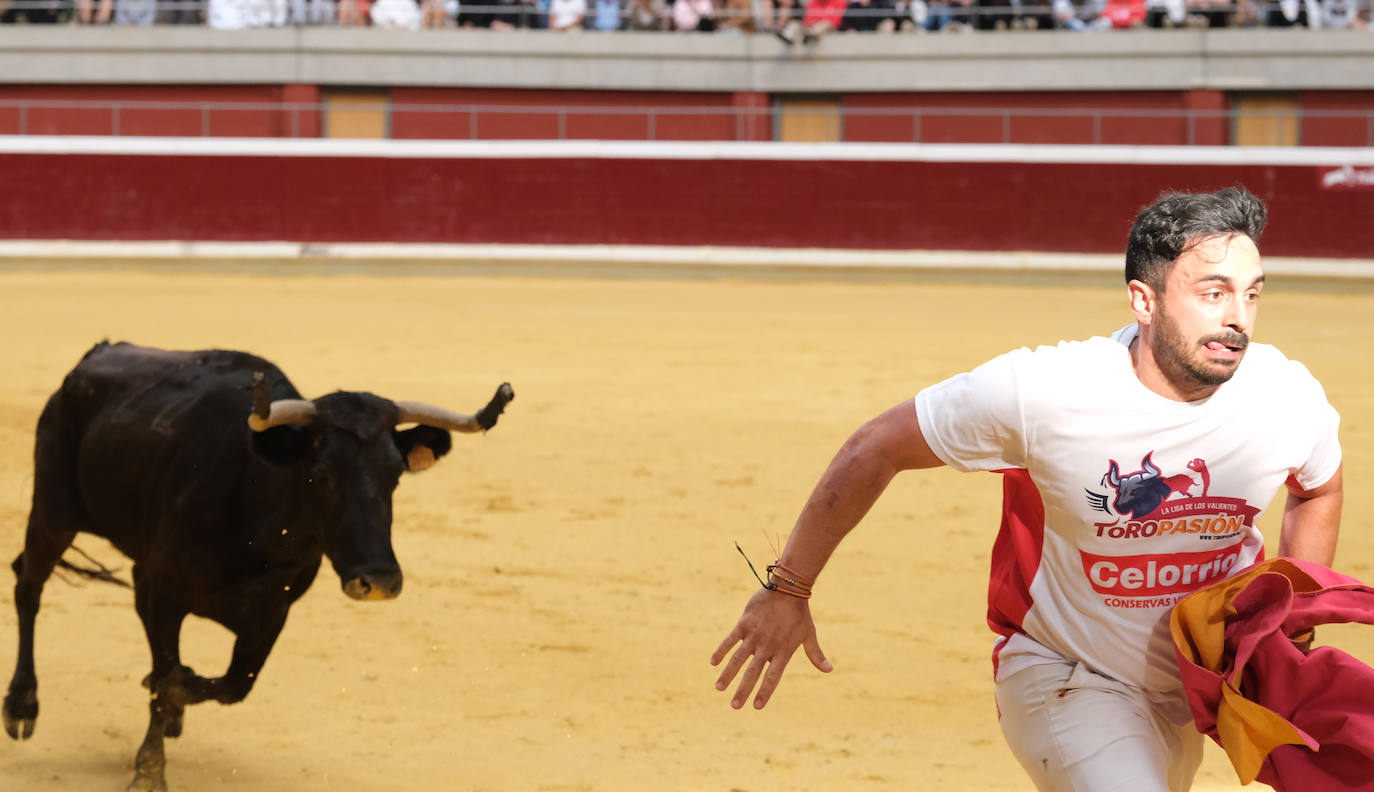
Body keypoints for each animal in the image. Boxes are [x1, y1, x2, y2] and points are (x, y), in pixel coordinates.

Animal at [1, 342, 516, 792]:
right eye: (322, 473)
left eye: (395, 475)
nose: (379, 580)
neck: (257, 513)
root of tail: (95, 355)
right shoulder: (159, 589)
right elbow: (167, 677)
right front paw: (149, 769)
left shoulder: (273, 612)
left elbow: (231, 684)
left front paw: (178, 702)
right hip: (52, 511)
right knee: (29, 586)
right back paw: (22, 705)